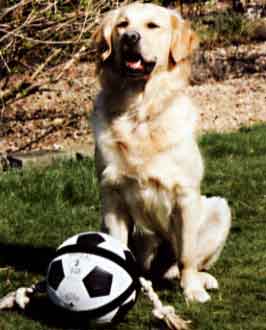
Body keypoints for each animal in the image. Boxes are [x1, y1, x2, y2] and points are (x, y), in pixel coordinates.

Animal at [91, 1, 231, 302]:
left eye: (152, 26)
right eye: (122, 24)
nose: (130, 38)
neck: (140, 111)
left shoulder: (186, 195)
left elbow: (187, 254)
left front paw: (192, 290)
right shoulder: (112, 195)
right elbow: (117, 249)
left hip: (218, 207)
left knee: (186, 262)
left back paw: (201, 279)